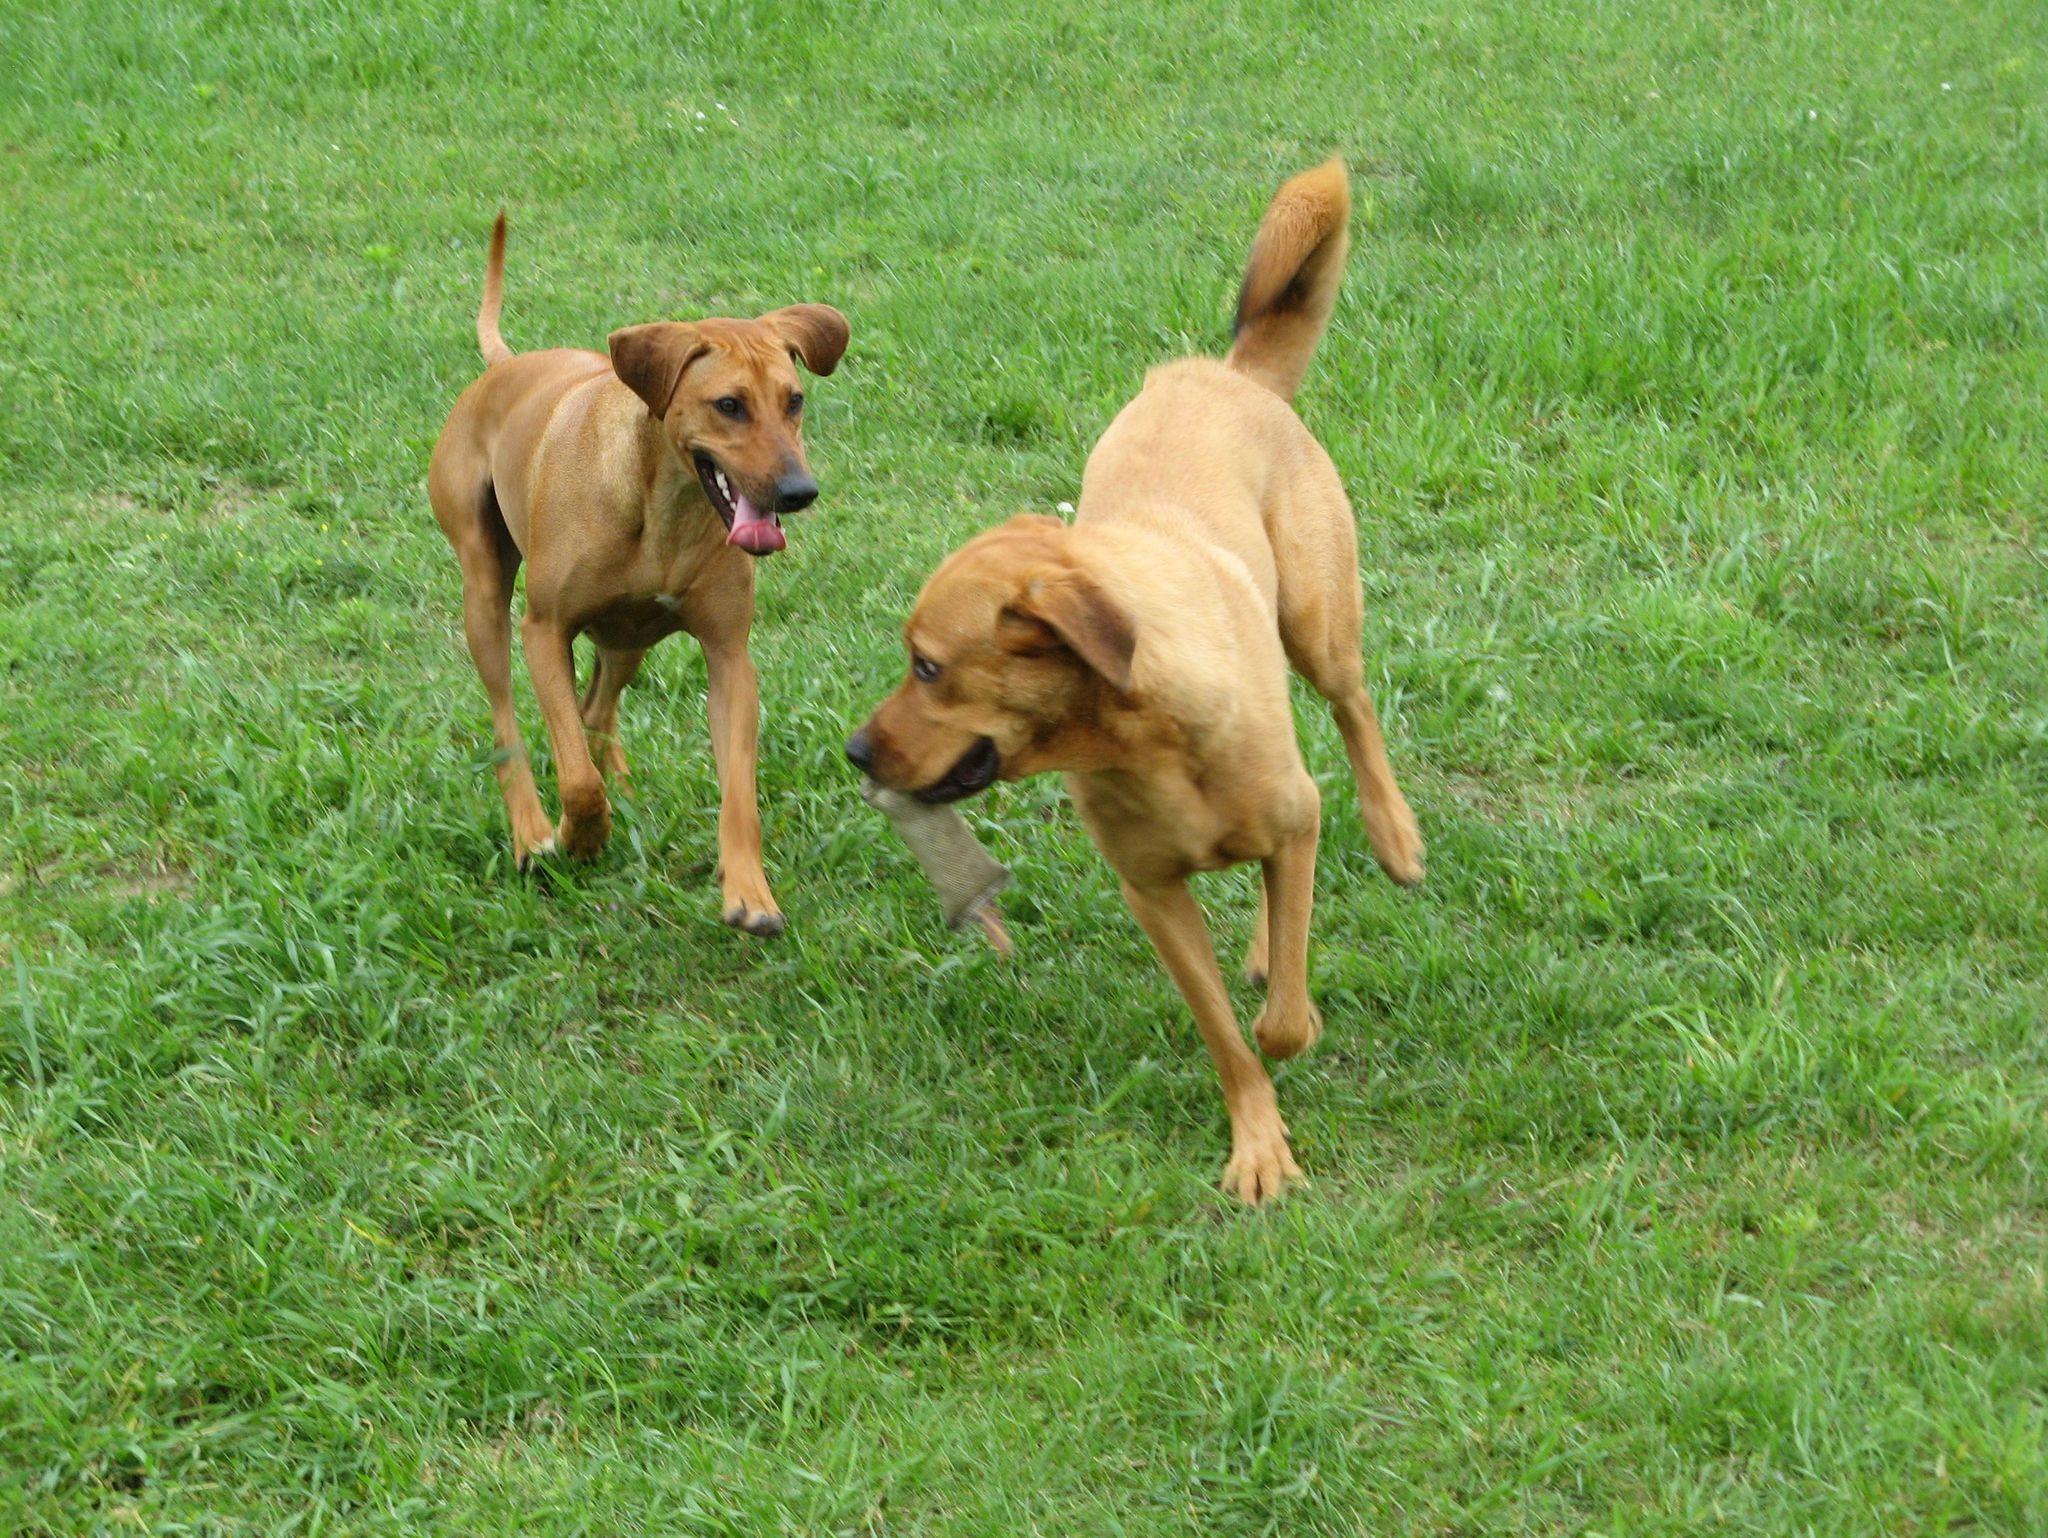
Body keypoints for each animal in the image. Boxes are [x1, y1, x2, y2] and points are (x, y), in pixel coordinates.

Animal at [427, 215, 847, 935]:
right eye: (728, 405)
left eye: (794, 401)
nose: (799, 491)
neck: (664, 509)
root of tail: (505, 366)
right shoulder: (545, 630)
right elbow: (575, 778)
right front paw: (579, 835)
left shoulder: (730, 657)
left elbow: (739, 792)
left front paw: (749, 890)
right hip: (484, 595)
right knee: (510, 725)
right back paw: (531, 833)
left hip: (628, 637)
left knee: (598, 709)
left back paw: (620, 785)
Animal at [847, 160, 1423, 1200]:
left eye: (928, 666)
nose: (855, 751)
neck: (1144, 740)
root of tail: (1223, 372)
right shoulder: (1153, 893)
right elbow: (1228, 1035)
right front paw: (1258, 1142)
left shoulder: (1287, 816)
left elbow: (1280, 1023)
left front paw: (1297, 1029)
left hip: (1320, 623)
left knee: (1353, 715)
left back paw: (1395, 837)